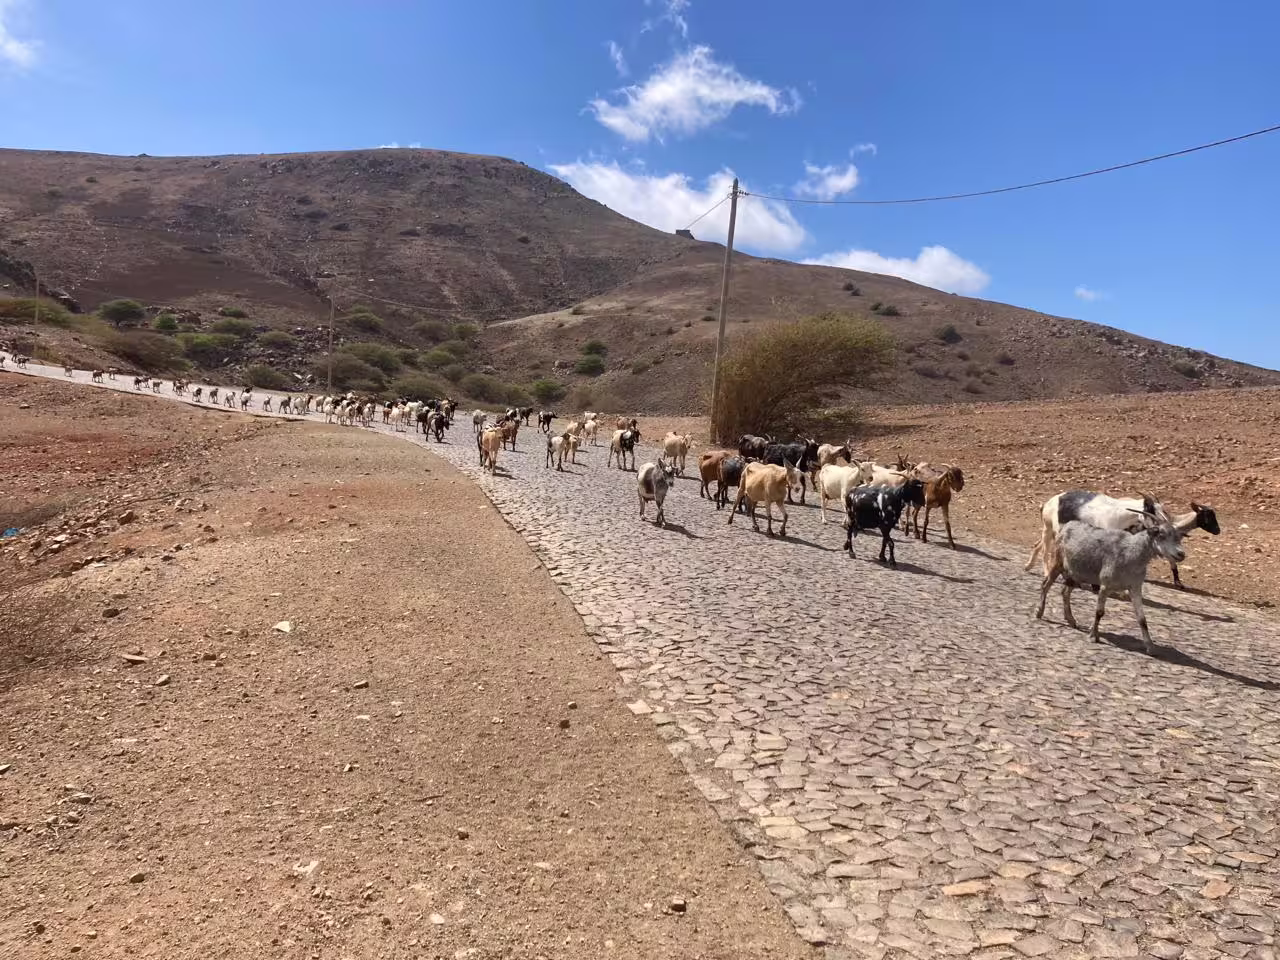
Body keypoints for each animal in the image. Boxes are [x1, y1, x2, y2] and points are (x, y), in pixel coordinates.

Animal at [1035, 511, 1186, 654]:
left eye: (1178, 536)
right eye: (1161, 534)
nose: (1181, 554)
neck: (1132, 554)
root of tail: (1067, 526)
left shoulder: (1135, 587)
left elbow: (1142, 619)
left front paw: (1150, 647)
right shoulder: (1106, 585)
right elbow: (1099, 612)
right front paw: (1093, 636)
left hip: (1076, 573)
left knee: (1065, 592)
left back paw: (1071, 620)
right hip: (1058, 561)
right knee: (1045, 584)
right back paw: (1039, 612)